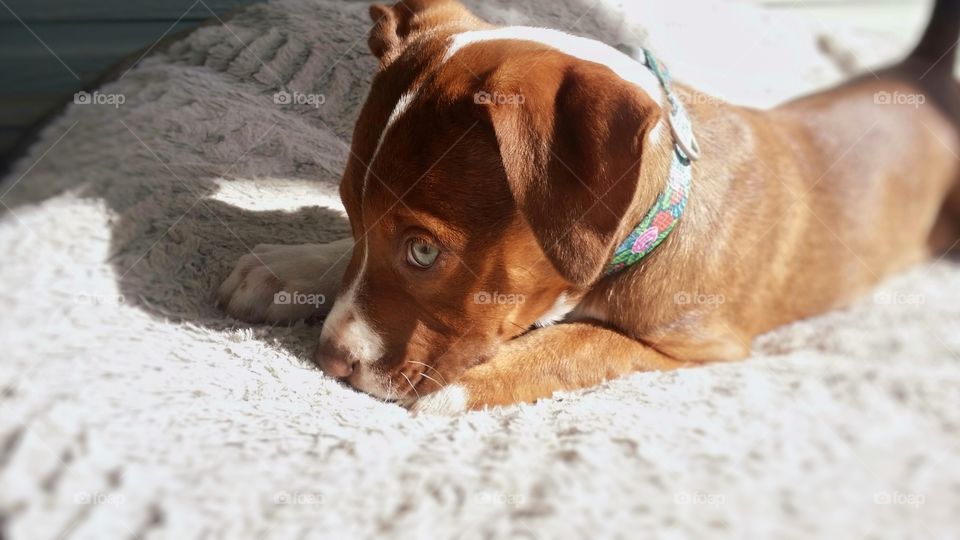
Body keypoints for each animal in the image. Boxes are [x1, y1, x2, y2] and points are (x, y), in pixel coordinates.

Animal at [218, 0, 960, 414]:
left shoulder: (697, 346)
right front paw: (289, 269)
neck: (661, 211)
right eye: (348, 211)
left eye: (424, 251)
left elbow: (581, 342)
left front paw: (465, 384)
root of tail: (919, 84)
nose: (331, 361)